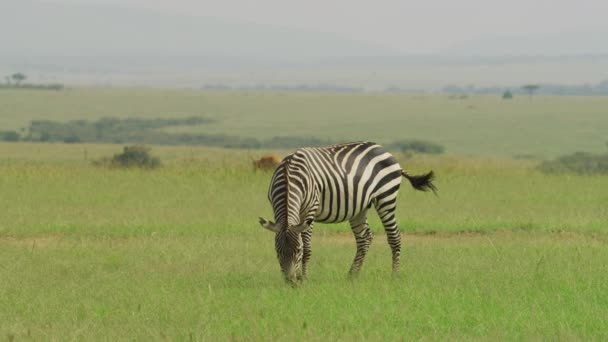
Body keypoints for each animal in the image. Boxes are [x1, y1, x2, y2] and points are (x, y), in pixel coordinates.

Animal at [258, 140, 436, 284]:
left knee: (394, 237)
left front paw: (305, 278)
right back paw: (352, 275)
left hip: (386, 197)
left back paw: (394, 276)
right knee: (365, 238)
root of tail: (383, 149)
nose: (291, 282)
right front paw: (302, 277)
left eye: (299, 251)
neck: (288, 176)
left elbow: (308, 246)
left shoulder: (310, 209)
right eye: (278, 251)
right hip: (359, 207)